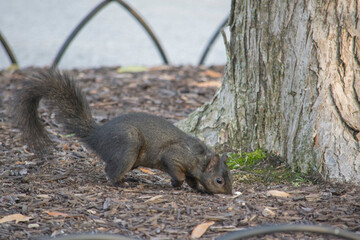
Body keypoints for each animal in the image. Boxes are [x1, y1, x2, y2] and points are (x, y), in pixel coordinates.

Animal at [13, 69, 233, 195]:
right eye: (219, 180)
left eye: (229, 175)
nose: (229, 194)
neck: (199, 158)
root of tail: (98, 135)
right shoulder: (174, 156)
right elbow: (178, 173)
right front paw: (175, 184)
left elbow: (192, 180)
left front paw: (199, 189)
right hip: (128, 147)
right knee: (110, 172)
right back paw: (123, 184)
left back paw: (129, 179)